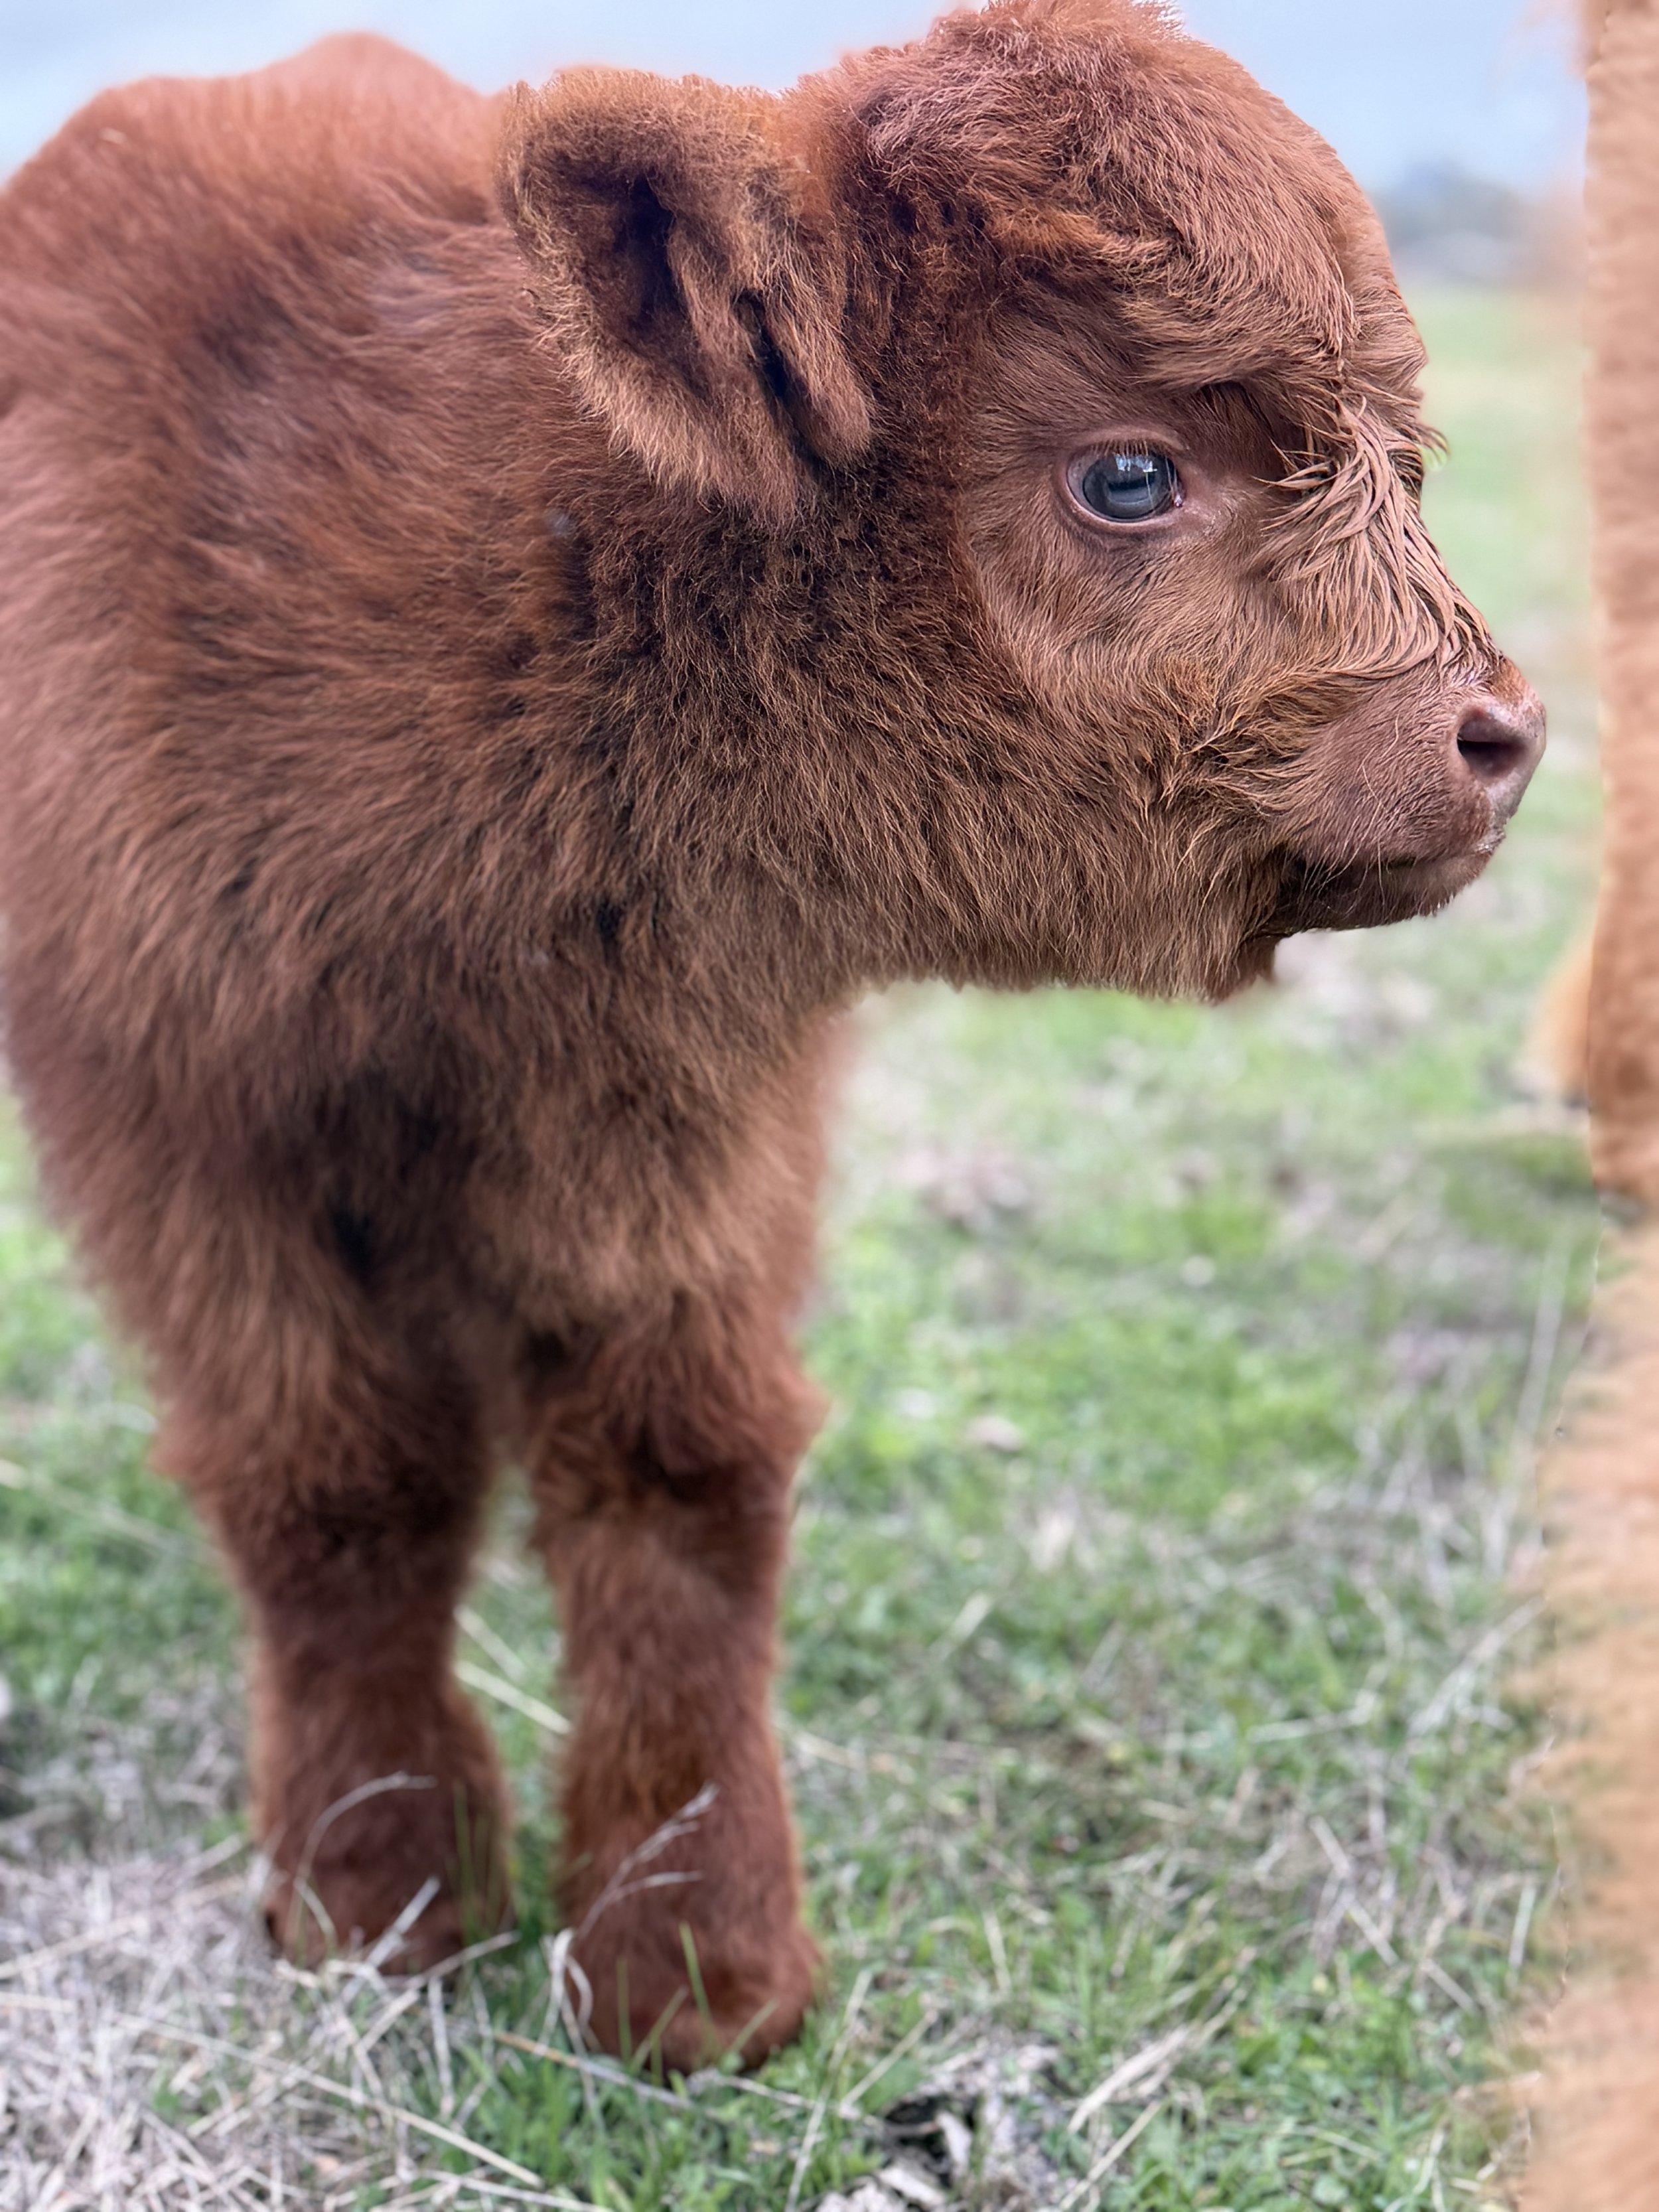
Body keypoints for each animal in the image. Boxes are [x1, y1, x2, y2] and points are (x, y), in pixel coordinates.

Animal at [0, 0, 1542, 2065]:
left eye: (1400, 456)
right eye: (1129, 475)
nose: (1497, 735)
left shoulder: (701, 1111)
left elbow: (677, 1480)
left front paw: (692, 1973)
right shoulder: (176, 1119)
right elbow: (338, 1484)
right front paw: (376, 1895)